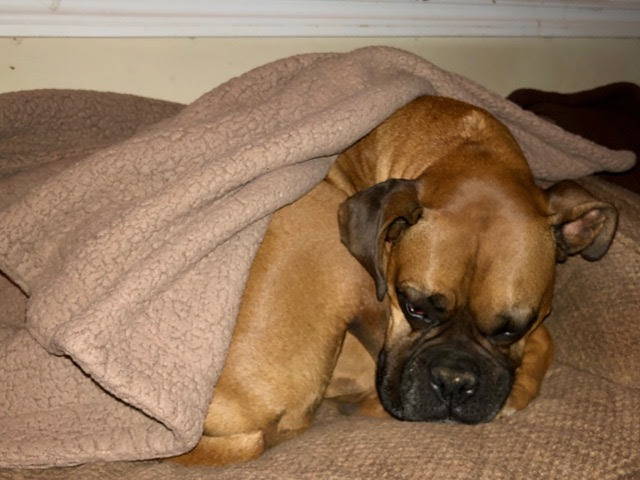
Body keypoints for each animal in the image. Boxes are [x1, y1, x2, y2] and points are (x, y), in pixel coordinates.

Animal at [168, 95, 616, 466]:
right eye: (413, 306)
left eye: (510, 329)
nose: (454, 382)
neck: (464, 144)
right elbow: (547, 340)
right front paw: (519, 390)